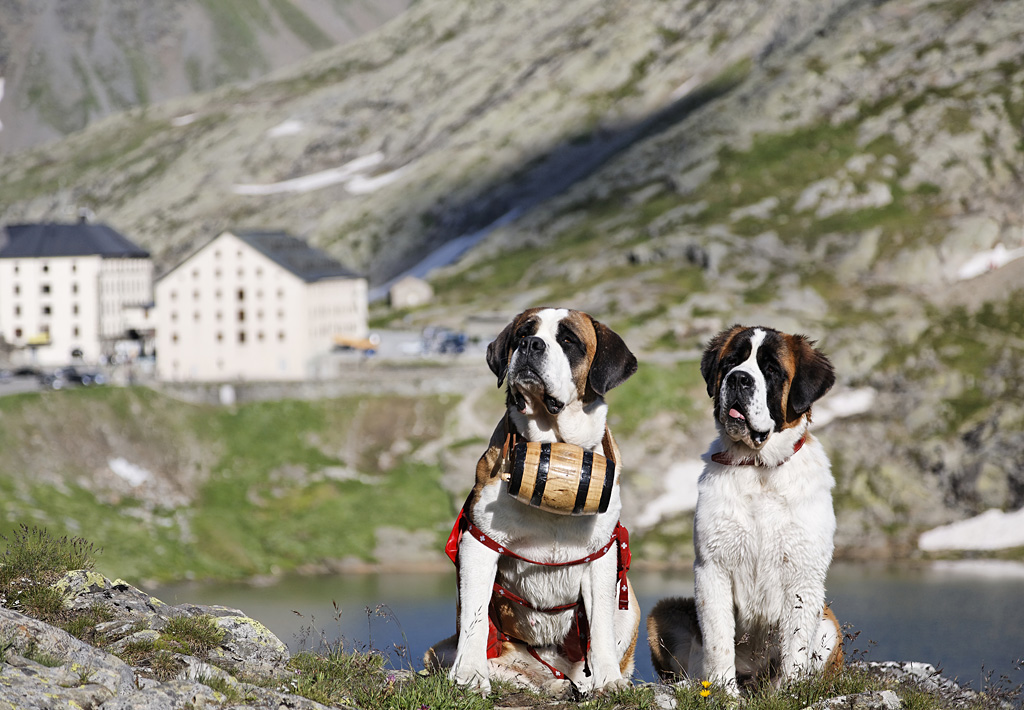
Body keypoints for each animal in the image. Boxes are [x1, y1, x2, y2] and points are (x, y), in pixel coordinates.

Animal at [423, 307, 638, 696]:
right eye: (523, 333)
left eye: (568, 340)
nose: (531, 345)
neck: (553, 445)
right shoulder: (479, 544)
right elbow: (476, 617)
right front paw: (470, 675)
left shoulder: (602, 554)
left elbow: (600, 625)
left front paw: (609, 680)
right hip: (442, 652)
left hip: (630, 606)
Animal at [647, 325, 839, 692]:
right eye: (731, 362)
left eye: (772, 369)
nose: (738, 378)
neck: (759, 469)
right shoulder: (712, 568)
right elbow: (718, 637)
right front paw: (723, 691)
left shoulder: (804, 575)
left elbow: (796, 644)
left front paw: (789, 693)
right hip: (663, 611)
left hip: (830, 623)